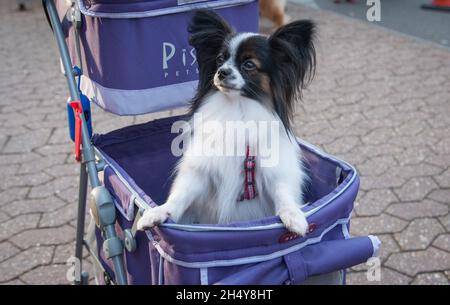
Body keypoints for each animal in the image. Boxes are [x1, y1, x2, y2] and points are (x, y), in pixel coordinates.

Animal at [137, 8, 316, 233]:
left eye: (249, 64)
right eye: (220, 59)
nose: (222, 72)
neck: (236, 109)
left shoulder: (274, 171)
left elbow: (283, 193)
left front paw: (293, 215)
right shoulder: (201, 171)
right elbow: (180, 196)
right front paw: (160, 212)